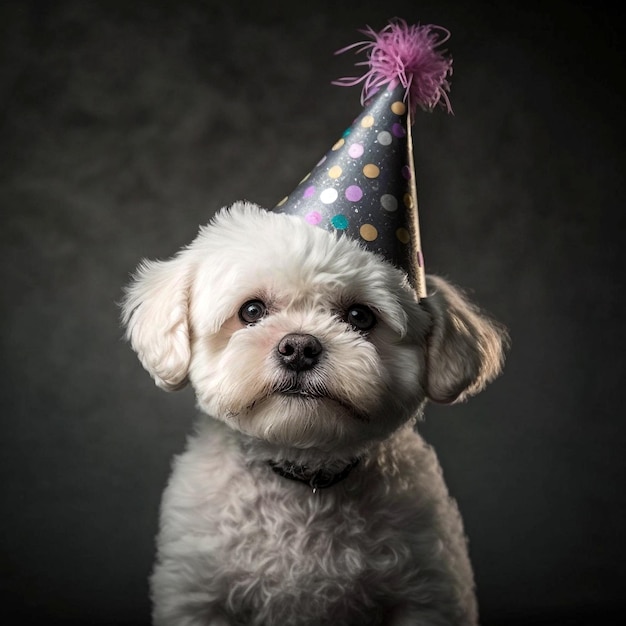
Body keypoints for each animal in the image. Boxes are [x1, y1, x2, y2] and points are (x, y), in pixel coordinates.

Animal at [119, 201, 504, 624]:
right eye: (251, 310)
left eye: (360, 316)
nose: (300, 347)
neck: (305, 477)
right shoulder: (197, 597)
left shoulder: (426, 595)